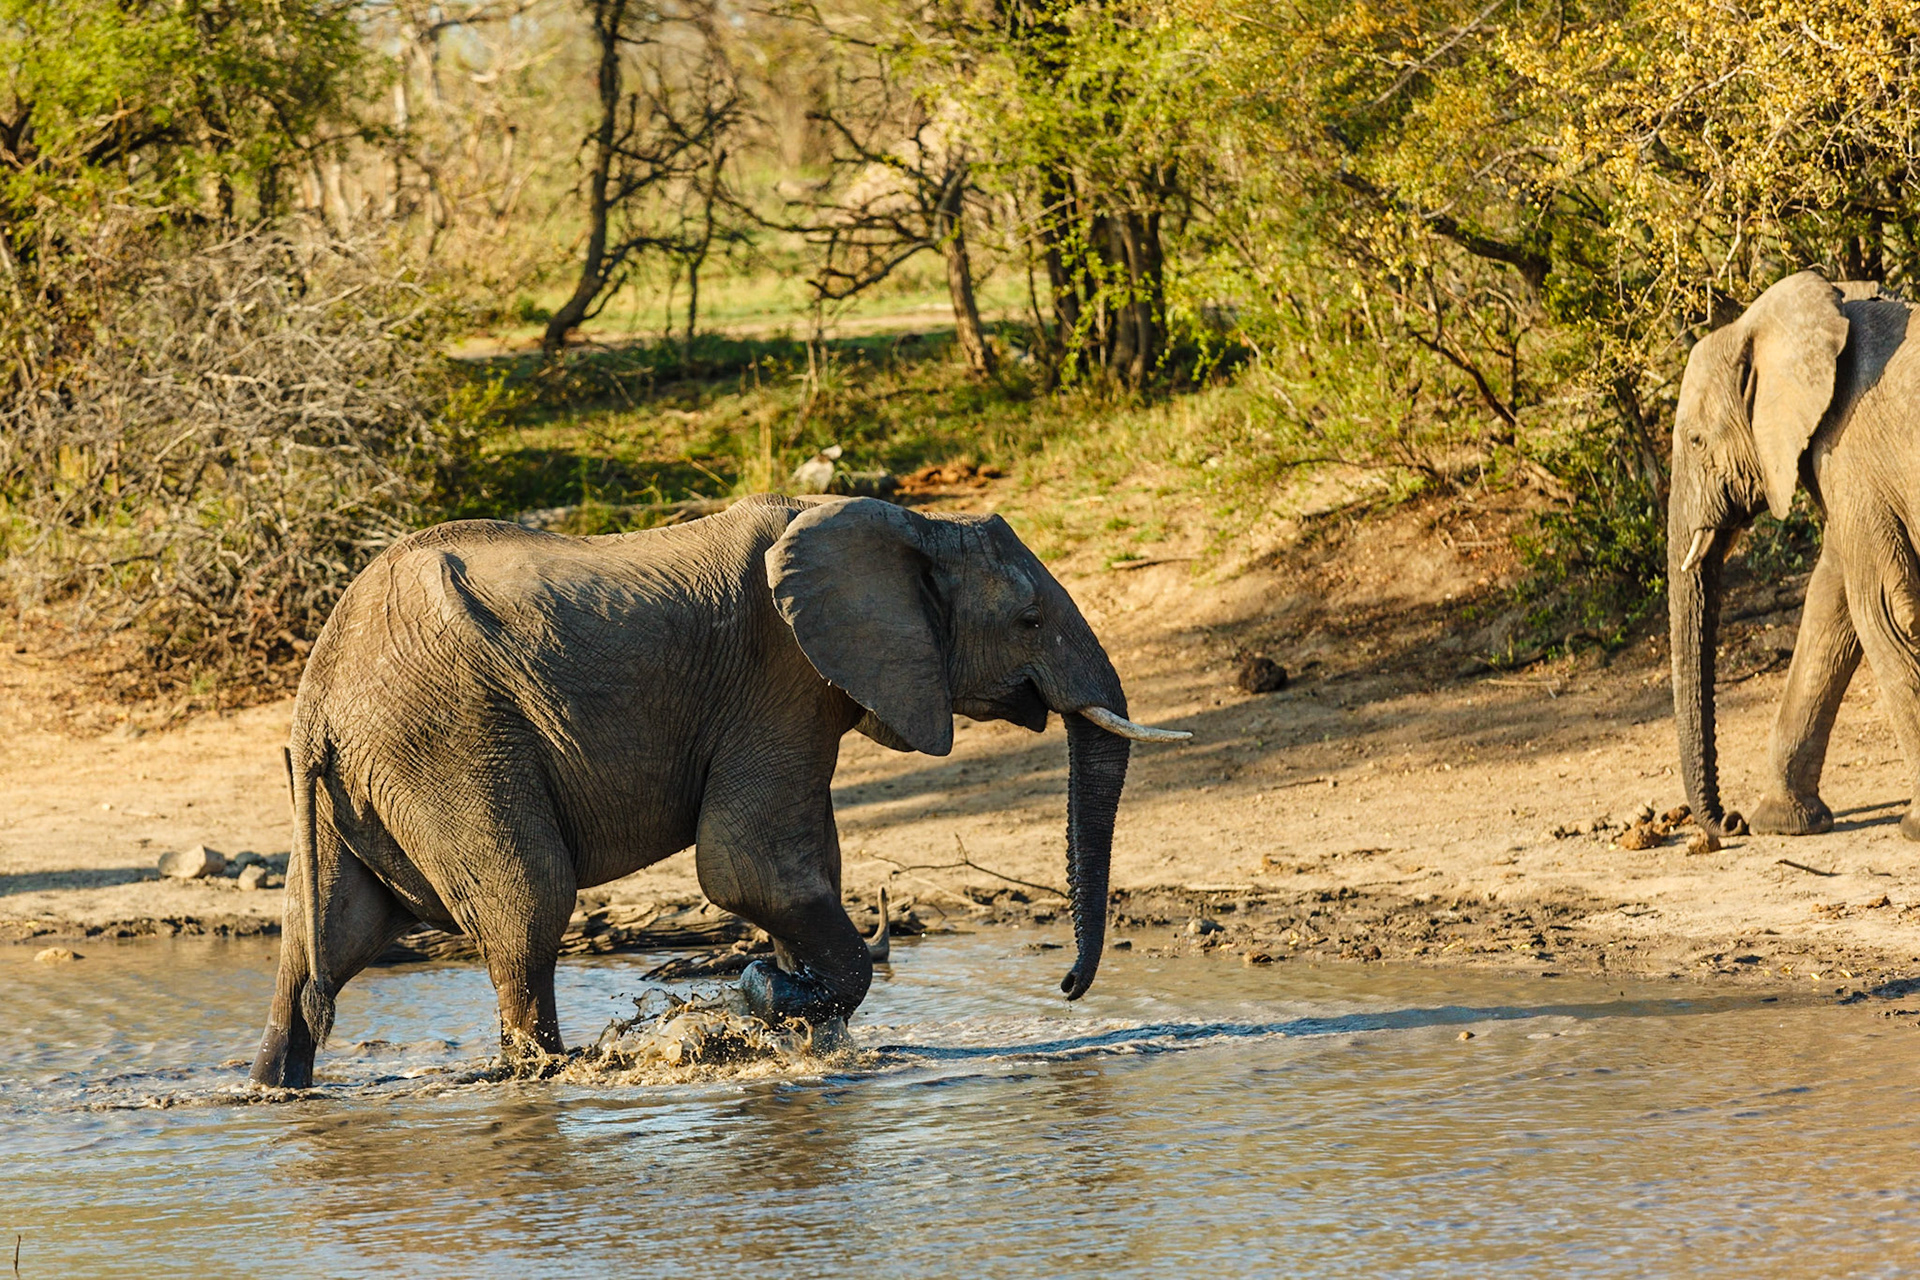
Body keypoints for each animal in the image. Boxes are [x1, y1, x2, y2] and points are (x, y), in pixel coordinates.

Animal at [249, 494, 1188, 1087]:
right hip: (445, 741)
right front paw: (769, 998)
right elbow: (750, 869)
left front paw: (789, 1016)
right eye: (1029, 621)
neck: (910, 525)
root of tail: (319, 695)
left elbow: (798, 869)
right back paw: (548, 1072)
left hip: (357, 784)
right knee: (527, 905)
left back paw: (277, 1090)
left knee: (322, 936)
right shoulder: (779, 674)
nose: (1066, 989)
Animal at [1669, 268, 1920, 840]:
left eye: (1696, 441)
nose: (1730, 822)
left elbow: (1884, 611)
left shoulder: (1851, 448)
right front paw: (1781, 823)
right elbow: (1832, 603)